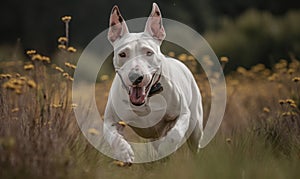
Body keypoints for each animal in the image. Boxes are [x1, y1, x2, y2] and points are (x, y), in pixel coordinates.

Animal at [103, 2, 204, 164]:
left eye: (149, 52)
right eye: (122, 54)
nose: (135, 77)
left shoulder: (183, 114)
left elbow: (175, 134)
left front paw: (167, 148)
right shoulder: (110, 121)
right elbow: (115, 138)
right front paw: (125, 153)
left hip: (196, 126)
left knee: (194, 144)